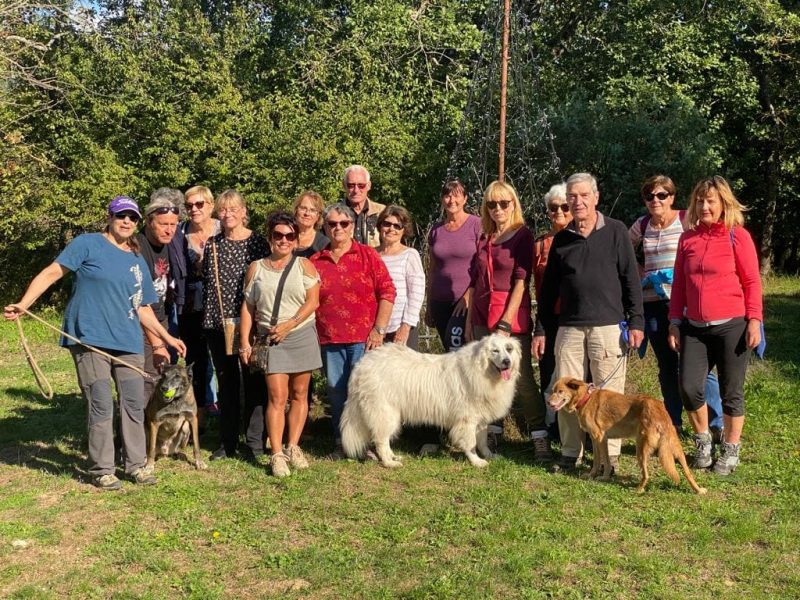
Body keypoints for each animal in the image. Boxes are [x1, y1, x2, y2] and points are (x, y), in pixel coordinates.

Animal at [340, 332, 520, 468]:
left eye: (509, 349)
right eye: (495, 351)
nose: (507, 362)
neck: (482, 371)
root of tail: (362, 364)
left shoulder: (481, 420)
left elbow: (482, 442)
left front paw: (490, 455)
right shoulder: (467, 420)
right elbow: (471, 443)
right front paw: (476, 461)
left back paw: (394, 457)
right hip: (385, 413)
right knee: (381, 440)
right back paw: (389, 463)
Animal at [552, 378, 708, 494]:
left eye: (560, 392)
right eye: (553, 391)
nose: (549, 402)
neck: (586, 397)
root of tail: (659, 412)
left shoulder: (598, 438)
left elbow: (600, 461)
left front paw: (597, 476)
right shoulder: (603, 440)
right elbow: (604, 461)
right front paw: (603, 476)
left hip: (641, 449)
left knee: (646, 474)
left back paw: (638, 490)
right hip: (676, 450)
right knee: (688, 473)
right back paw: (699, 490)